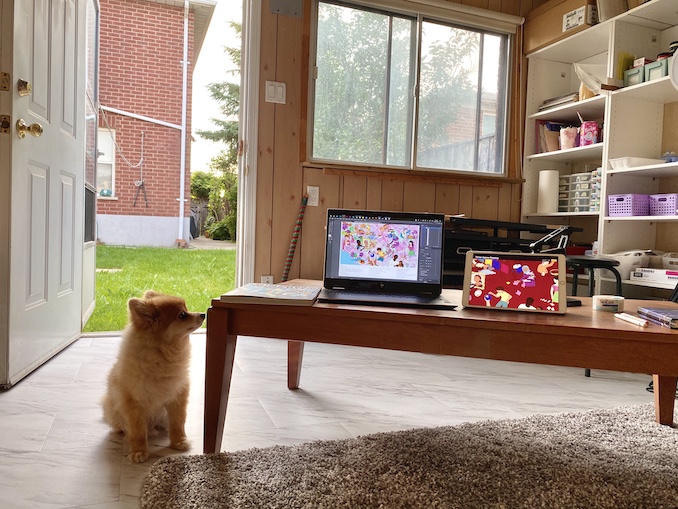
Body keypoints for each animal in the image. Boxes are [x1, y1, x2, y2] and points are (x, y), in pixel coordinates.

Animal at [101, 290, 205, 460]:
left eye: (186, 308)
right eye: (182, 315)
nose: (203, 314)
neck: (162, 354)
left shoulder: (178, 395)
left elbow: (178, 423)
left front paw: (179, 442)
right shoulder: (134, 402)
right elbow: (137, 430)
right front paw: (138, 451)